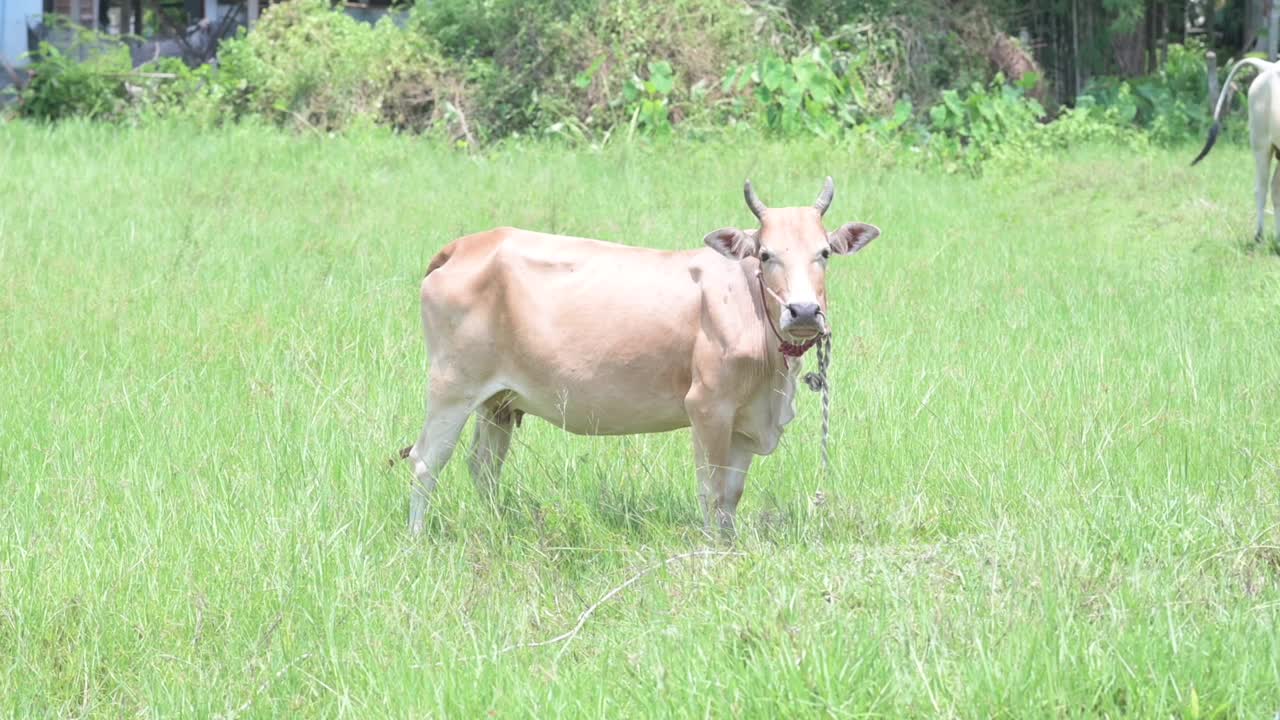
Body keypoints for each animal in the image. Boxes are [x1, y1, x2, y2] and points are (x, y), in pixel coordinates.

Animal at [409, 179, 880, 532]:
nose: (803, 311)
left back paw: (496, 527)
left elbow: (731, 495)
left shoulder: (746, 419)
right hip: (452, 388)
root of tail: (464, 246)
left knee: (484, 468)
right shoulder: (707, 407)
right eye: (766, 254)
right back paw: (418, 541)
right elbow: (711, 492)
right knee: (425, 463)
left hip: (498, 403)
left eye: (824, 253)